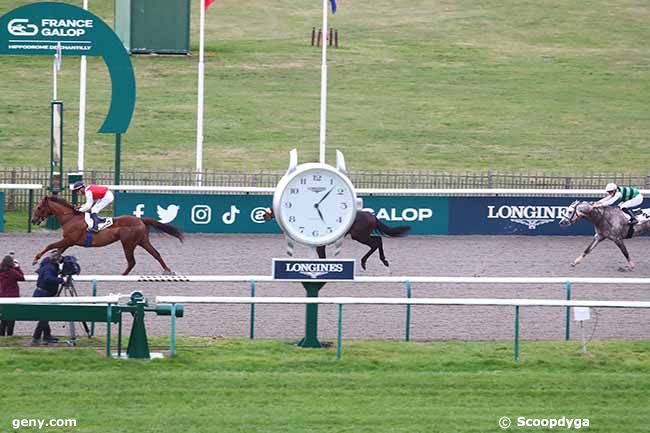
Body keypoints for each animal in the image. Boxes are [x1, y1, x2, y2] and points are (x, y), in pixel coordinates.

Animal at [30, 195, 182, 274]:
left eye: (39, 207)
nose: (33, 220)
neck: (70, 218)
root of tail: (140, 219)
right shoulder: (68, 242)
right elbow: (56, 253)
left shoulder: (69, 240)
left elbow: (50, 246)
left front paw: (36, 259)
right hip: (142, 241)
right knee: (156, 254)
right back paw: (168, 270)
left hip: (128, 243)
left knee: (132, 262)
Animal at [262, 208, 404, 268]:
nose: (264, 215)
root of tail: (372, 215)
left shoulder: (320, 245)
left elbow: (322, 258)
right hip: (361, 235)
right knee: (378, 240)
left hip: (359, 235)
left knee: (376, 242)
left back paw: (373, 261)